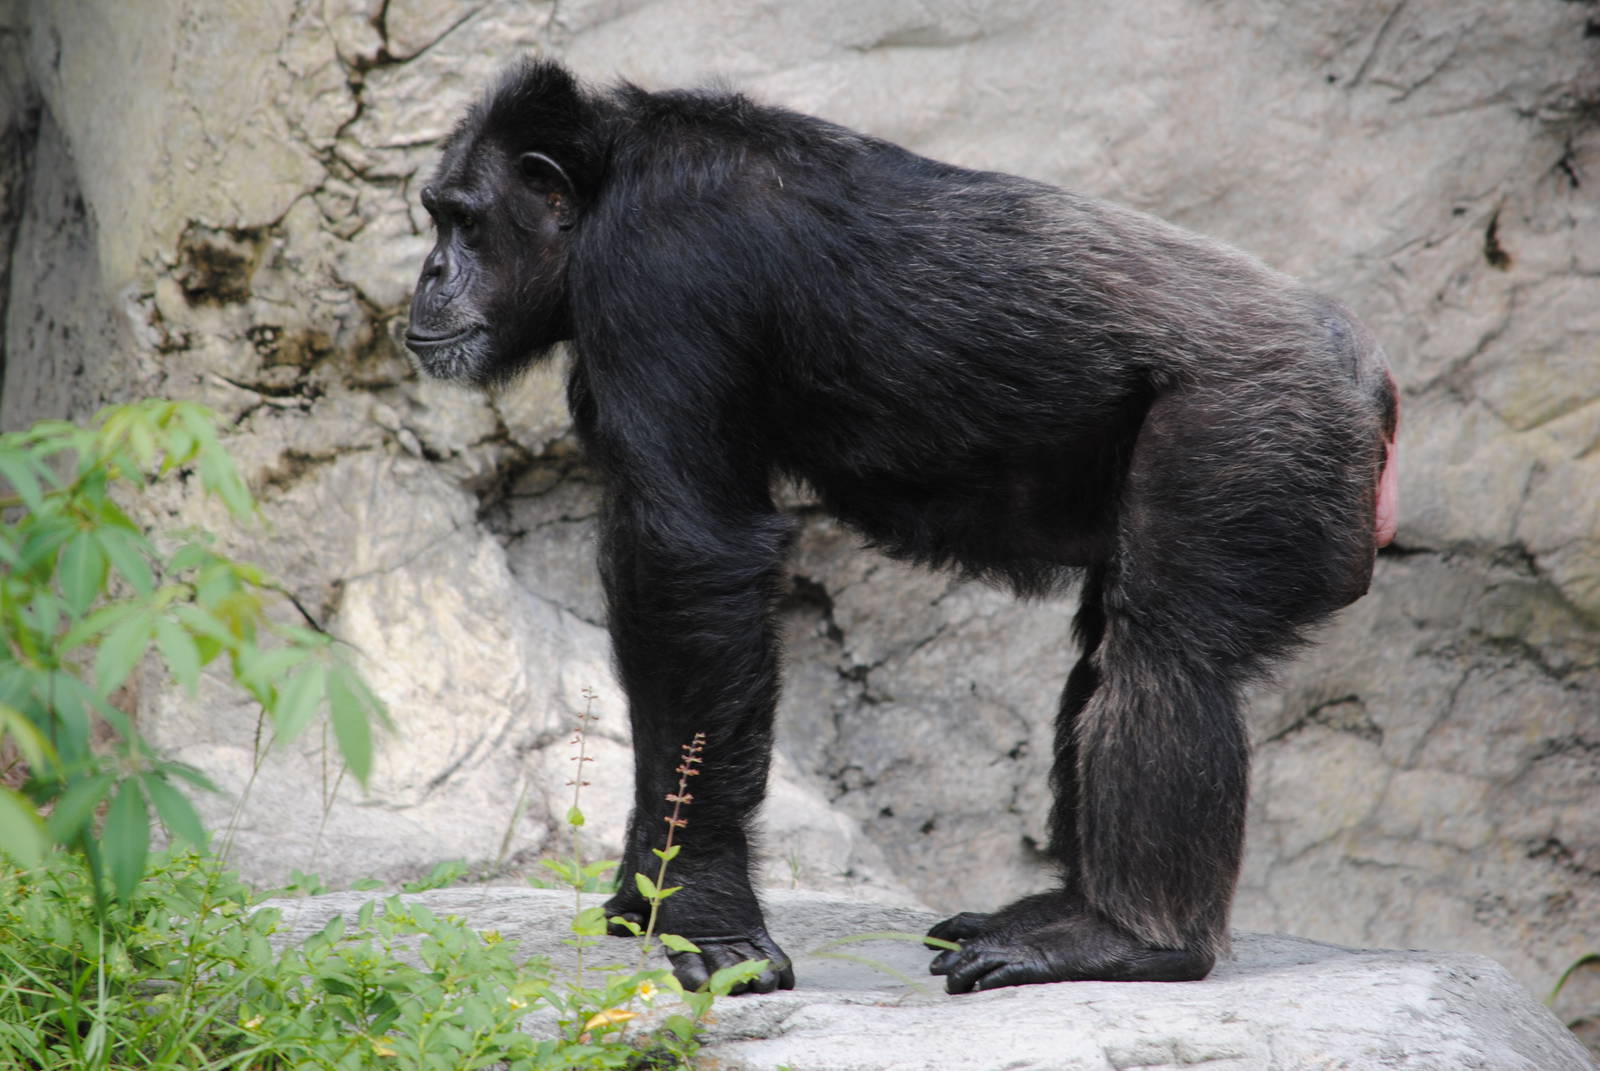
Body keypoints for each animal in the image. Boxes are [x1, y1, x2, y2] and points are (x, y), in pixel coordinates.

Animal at [405, 59, 1400, 995]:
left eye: (462, 219)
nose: (428, 271)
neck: (611, 174)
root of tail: (1372, 380)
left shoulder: (658, 271)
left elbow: (689, 556)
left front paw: (703, 911)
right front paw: (642, 897)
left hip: (1256, 426)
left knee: (1169, 656)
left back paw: (1132, 938)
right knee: (1111, 644)